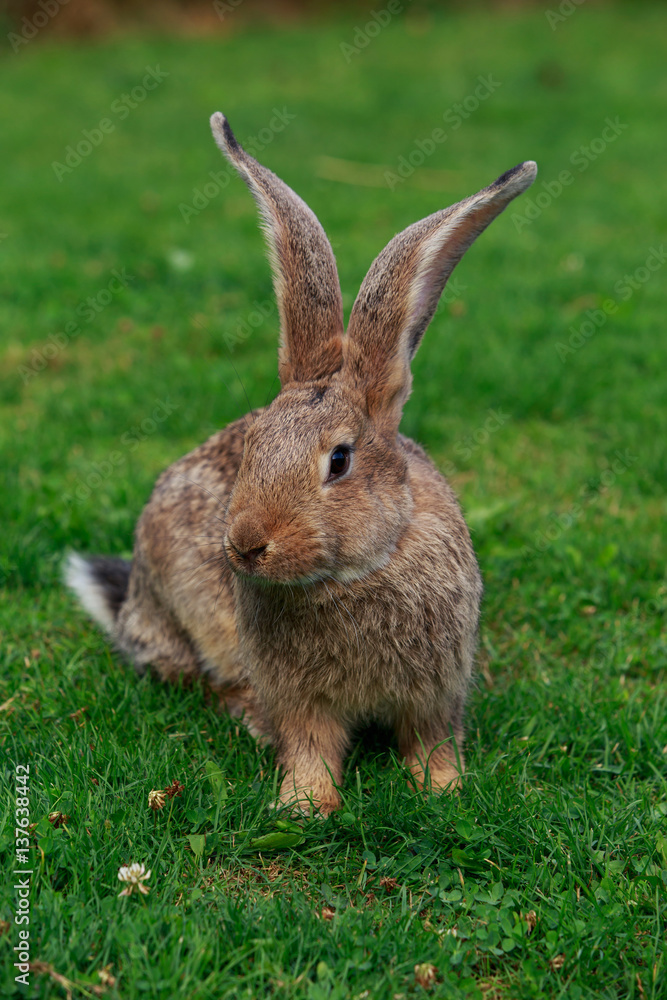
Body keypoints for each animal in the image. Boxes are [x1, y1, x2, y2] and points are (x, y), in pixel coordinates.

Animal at [66, 111, 537, 815]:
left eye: (339, 461)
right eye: (253, 444)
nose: (246, 545)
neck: (357, 573)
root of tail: (134, 607)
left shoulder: (437, 689)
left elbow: (431, 742)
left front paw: (443, 793)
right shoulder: (301, 699)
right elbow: (310, 745)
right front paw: (304, 806)